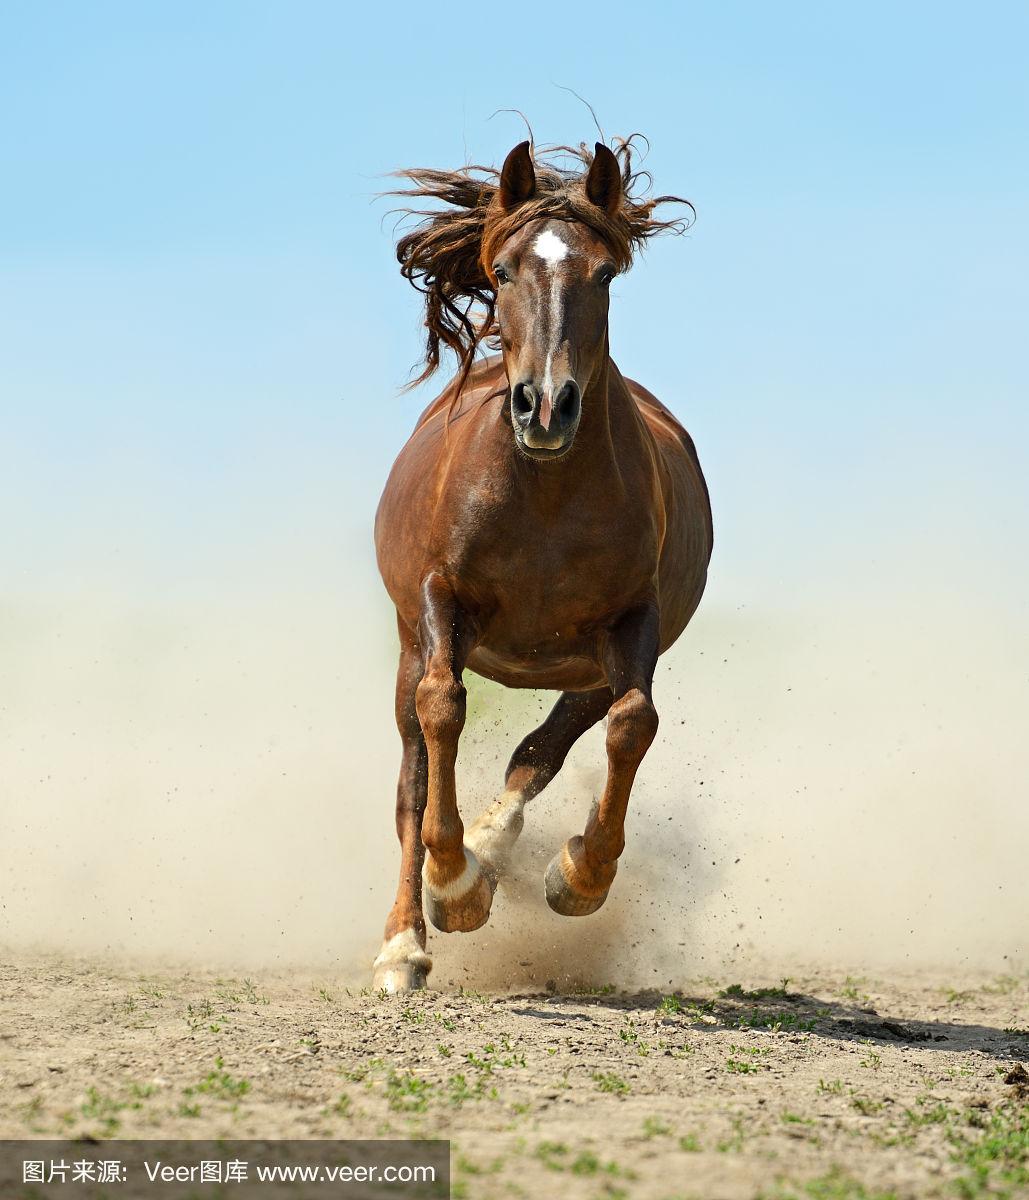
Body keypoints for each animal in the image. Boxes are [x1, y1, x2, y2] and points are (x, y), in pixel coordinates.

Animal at [371, 138, 714, 993]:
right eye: (500, 271)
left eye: (605, 274)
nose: (545, 407)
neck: (545, 496)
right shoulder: (440, 600)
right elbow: (442, 711)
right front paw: (452, 889)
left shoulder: (632, 624)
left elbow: (632, 724)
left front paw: (578, 876)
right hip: (408, 642)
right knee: (411, 778)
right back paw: (406, 939)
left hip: (585, 665)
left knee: (544, 748)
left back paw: (495, 847)